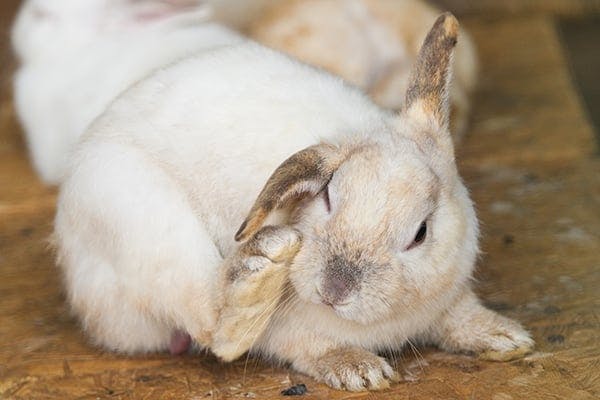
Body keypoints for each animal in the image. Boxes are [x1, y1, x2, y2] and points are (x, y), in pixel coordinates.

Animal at [55, 14, 536, 392]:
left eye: (420, 233)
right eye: (327, 196)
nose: (335, 289)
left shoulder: (448, 296)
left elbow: (460, 316)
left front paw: (506, 337)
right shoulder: (288, 329)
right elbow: (308, 348)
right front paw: (359, 370)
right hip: (147, 224)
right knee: (214, 323)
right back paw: (261, 268)